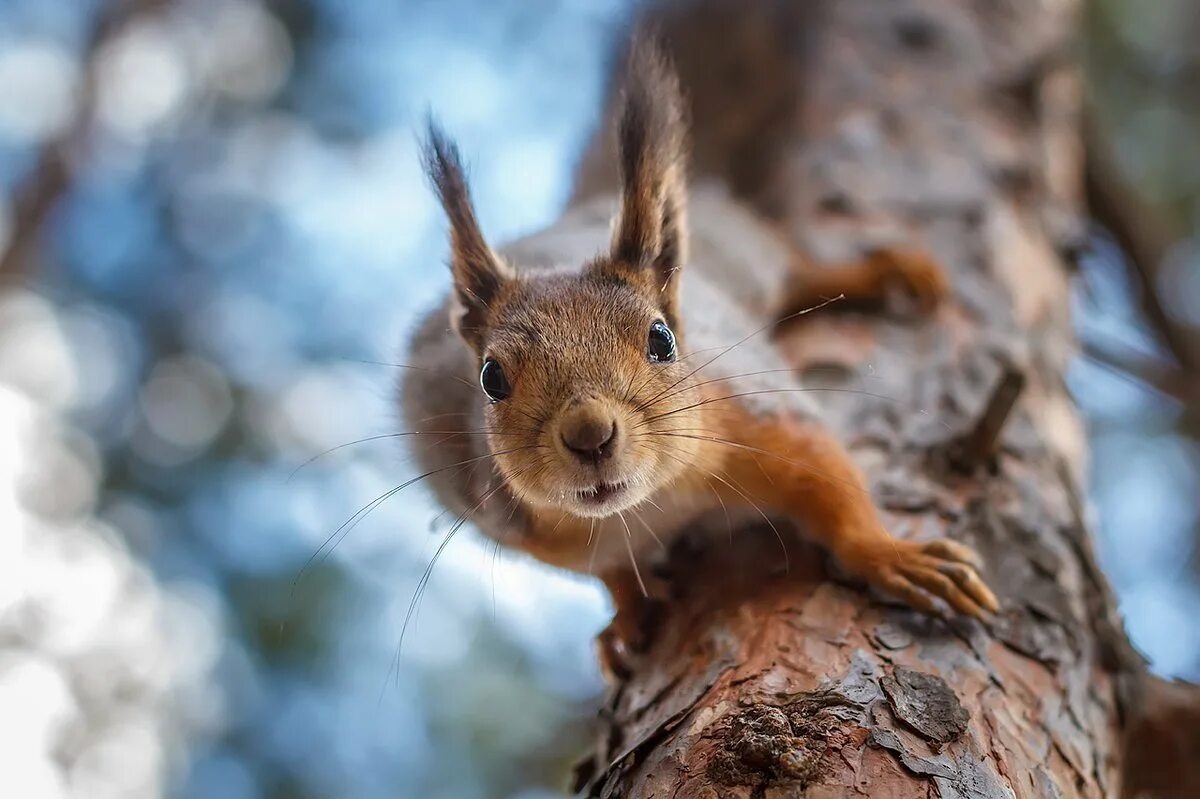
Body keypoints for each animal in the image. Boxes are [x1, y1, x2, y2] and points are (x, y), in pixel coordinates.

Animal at [398, 35, 998, 652]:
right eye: (491, 378)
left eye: (661, 340)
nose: (590, 435)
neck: (648, 506)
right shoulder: (522, 527)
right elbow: (608, 572)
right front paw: (626, 614)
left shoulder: (756, 416)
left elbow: (834, 487)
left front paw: (893, 556)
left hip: (744, 258)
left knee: (799, 270)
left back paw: (885, 273)